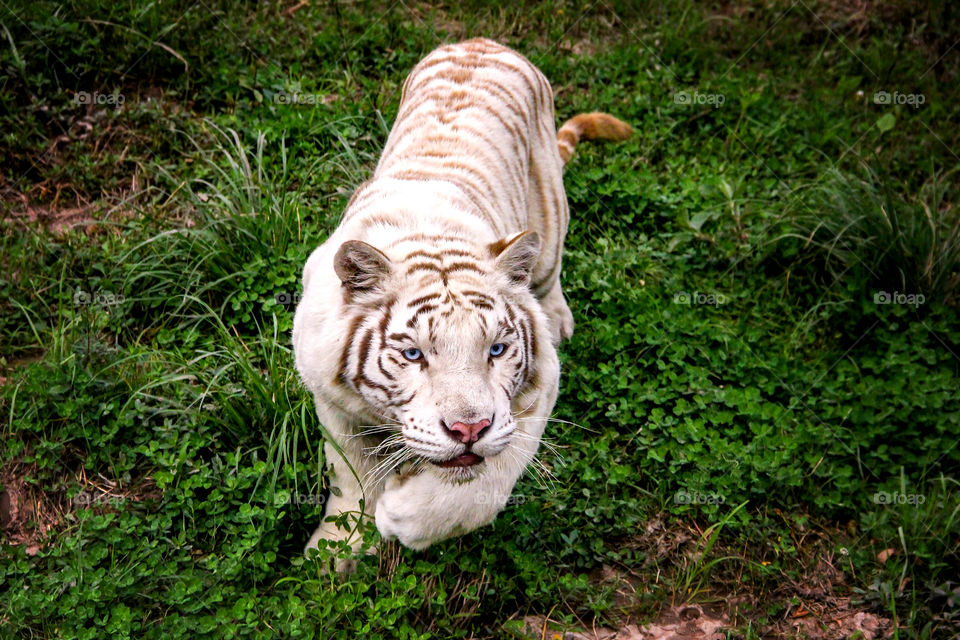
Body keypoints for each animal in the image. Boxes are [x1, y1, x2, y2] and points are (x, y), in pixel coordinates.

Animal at [290, 37, 632, 568]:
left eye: (496, 350)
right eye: (413, 354)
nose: (468, 430)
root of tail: (482, 42)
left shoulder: (539, 387)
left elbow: (486, 481)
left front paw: (405, 516)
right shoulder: (332, 400)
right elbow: (350, 479)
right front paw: (333, 553)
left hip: (549, 213)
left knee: (551, 269)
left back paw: (557, 316)